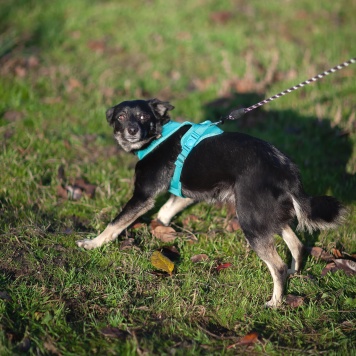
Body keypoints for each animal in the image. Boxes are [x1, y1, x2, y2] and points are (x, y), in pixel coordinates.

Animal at [76, 98, 346, 308]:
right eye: (121, 116)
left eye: (143, 116)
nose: (132, 130)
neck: (158, 136)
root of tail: (287, 170)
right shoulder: (185, 193)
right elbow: (166, 209)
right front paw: (161, 229)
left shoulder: (143, 195)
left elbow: (115, 223)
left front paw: (93, 243)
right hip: (265, 215)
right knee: (297, 245)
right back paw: (295, 273)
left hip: (250, 219)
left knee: (277, 266)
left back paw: (276, 302)